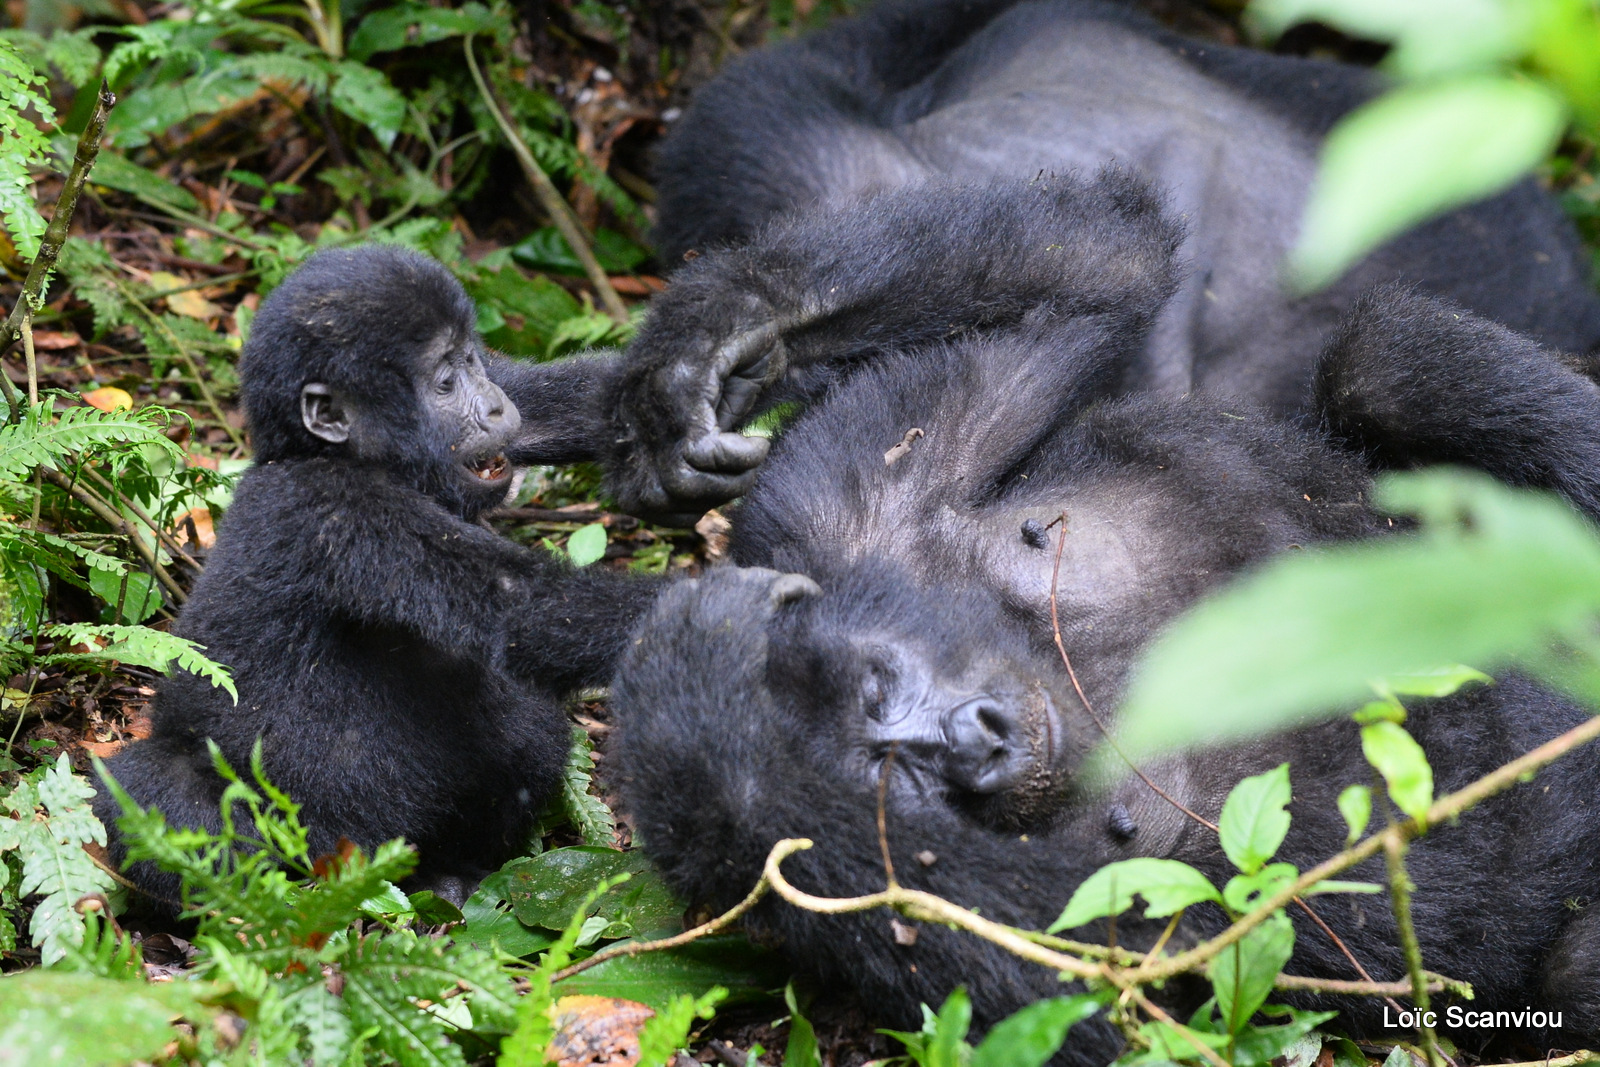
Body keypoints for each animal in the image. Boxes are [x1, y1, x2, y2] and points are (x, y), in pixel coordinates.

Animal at [93, 246, 659, 908]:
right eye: (445, 382)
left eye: (473, 363)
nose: (496, 406)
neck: (332, 455)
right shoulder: (338, 513)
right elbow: (527, 609)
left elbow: (564, 401)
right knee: (154, 789)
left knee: (524, 726)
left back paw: (450, 873)